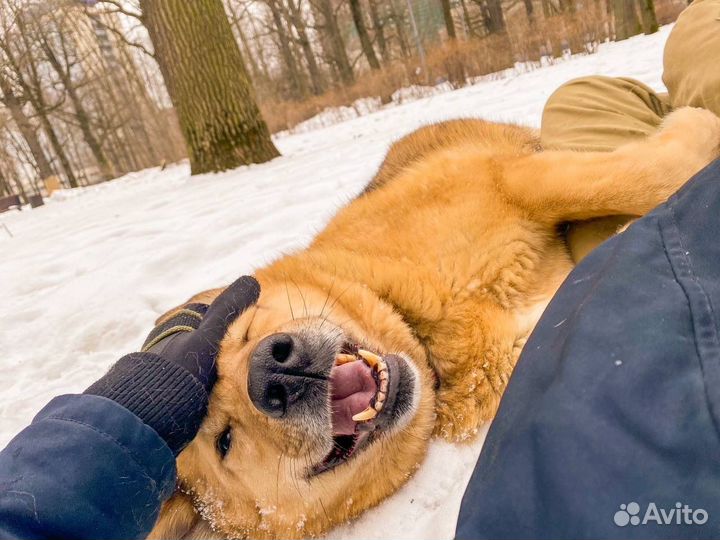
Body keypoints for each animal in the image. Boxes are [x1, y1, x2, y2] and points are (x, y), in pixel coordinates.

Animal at [148, 107, 720, 536]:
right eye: (226, 441)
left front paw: (695, 126)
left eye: (240, 334)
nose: (275, 372)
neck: (426, 339)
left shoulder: (515, 178)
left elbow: (646, 176)